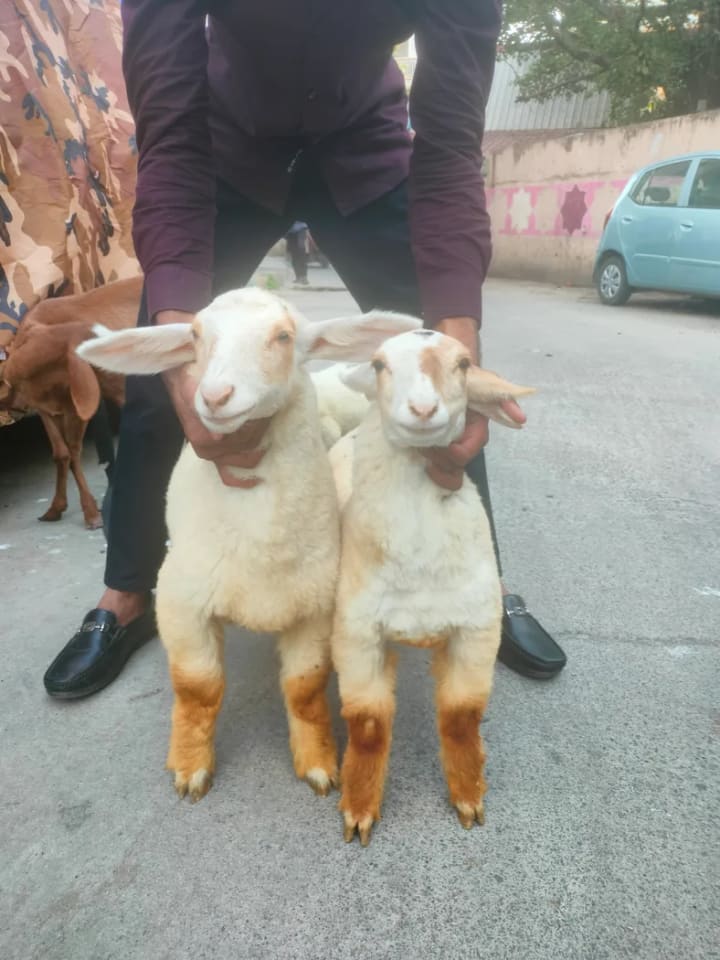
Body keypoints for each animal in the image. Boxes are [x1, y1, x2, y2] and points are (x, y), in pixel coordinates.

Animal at [2, 277, 142, 528]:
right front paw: (55, 508)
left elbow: (74, 451)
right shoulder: (47, 409)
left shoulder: (76, 407)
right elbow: (61, 453)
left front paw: (91, 512)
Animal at [76, 288, 419, 802]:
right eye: (196, 336)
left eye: (283, 336)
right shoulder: (182, 605)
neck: (262, 547)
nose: (215, 397)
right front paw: (191, 766)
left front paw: (317, 762)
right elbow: (198, 687)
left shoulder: (315, 608)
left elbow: (304, 688)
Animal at [328, 326, 535, 845]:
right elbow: (368, 726)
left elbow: (461, 719)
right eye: (379, 364)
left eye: (462, 364)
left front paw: (468, 798)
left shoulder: (476, 632)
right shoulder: (357, 635)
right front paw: (359, 809)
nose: (422, 409)